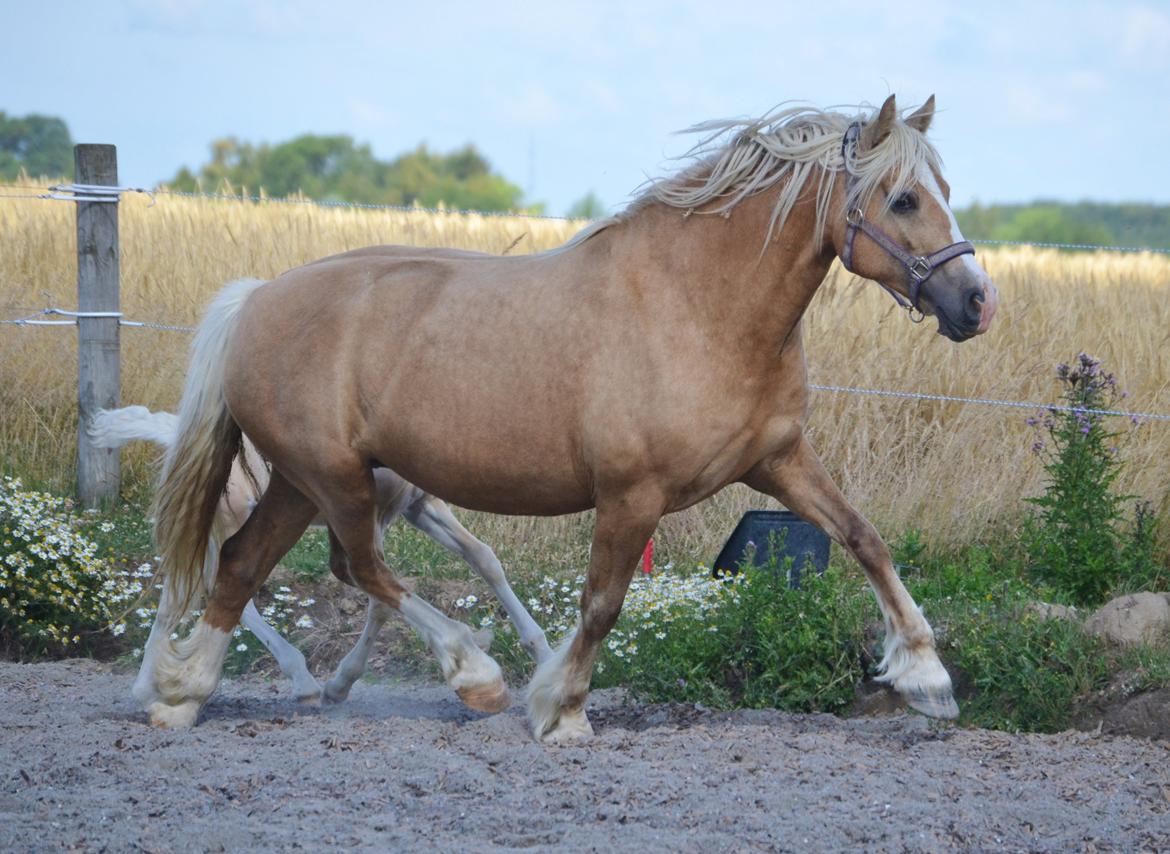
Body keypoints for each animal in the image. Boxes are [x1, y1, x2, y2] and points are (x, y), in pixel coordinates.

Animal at [88, 404, 549, 706]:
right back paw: (299, 680)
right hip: (229, 525)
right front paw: (341, 683)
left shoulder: (419, 506)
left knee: (192, 591)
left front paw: (541, 653)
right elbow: (380, 599)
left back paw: (151, 688)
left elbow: (484, 558)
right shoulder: (372, 516)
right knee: (216, 589)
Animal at [143, 91, 996, 729]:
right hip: (339, 480)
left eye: (946, 194)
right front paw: (559, 708)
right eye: (903, 199)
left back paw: (184, 695)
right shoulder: (631, 494)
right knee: (362, 567)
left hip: (300, 481)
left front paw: (926, 678)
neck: (698, 309)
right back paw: (474, 674)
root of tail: (256, 298)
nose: (978, 302)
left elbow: (865, 539)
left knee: (242, 563)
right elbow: (602, 603)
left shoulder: (779, 461)